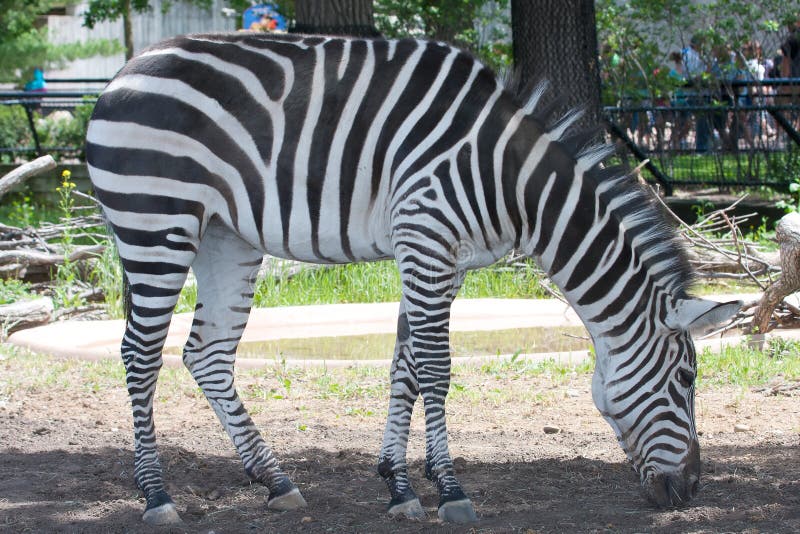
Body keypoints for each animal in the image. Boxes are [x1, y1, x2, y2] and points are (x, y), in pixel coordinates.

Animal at [85, 33, 740, 525]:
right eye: (687, 380)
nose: (691, 492)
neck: (515, 183)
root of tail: (123, 72)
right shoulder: (425, 240)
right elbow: (436, 369)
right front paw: (450, 491)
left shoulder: (444, 258)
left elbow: (406, 367)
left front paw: (398, 487)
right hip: (155, 221)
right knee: (140, 353)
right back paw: (157, 497)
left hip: (226, 238)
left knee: (208, 353)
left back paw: (276, 481)